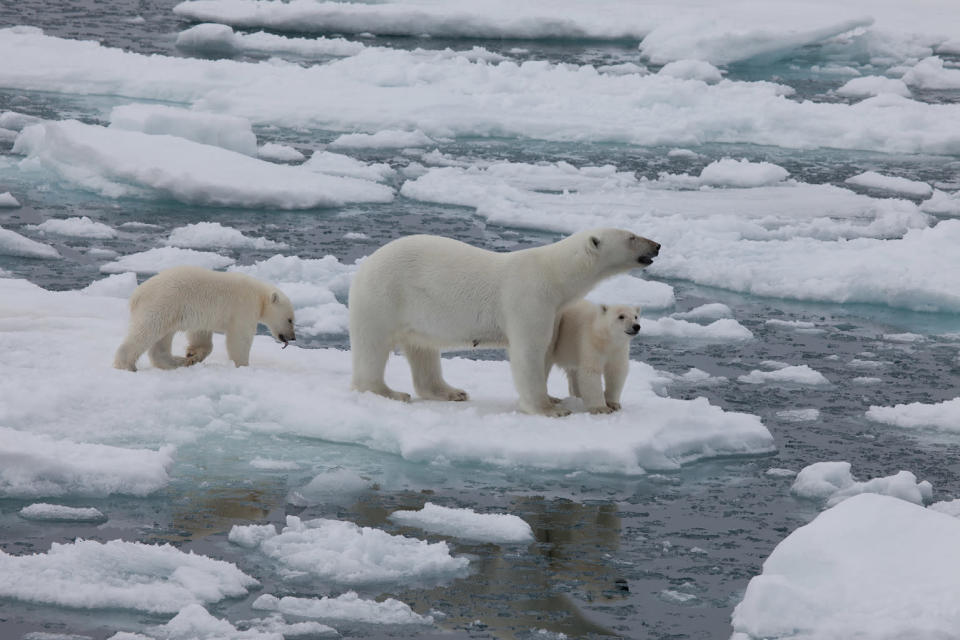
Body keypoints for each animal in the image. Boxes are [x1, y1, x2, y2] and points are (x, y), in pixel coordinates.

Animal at [346, 228, 660, 418]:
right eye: (631, 237)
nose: (657, 245)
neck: (553, 275)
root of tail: (365, 265)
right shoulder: (529, 298)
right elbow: (528, 353)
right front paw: (549, 409)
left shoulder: (555, 310)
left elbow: (547, 351)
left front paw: (554, 398)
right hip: (384, 296)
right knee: (373, 346)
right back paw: (389, 392)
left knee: (422, 348)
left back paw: (451, 391)